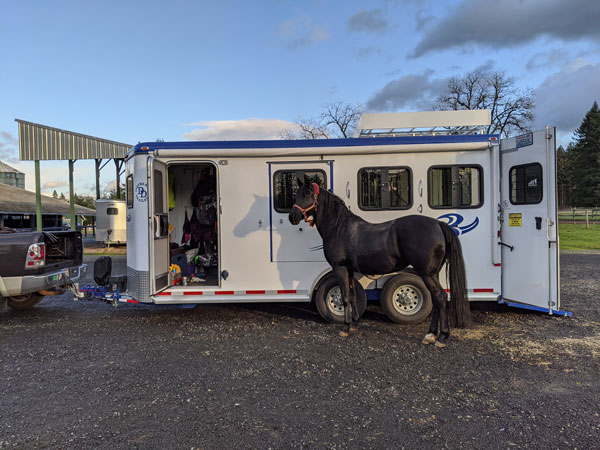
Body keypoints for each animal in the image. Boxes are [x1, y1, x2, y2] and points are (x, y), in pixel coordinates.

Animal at [288, 178, 472, 344]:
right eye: (296, 194)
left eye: (308, 195)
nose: (292, 217)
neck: (339, 228)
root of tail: (438, 224)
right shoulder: (349, 269)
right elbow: (352, 296)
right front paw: (354, 324)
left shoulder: (339, 268)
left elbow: (345, 297)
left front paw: (345, 328)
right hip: (433, 273)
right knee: (436, 299)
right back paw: (430, 335)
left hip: (426, 274)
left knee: (440, 297)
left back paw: (441, 337)